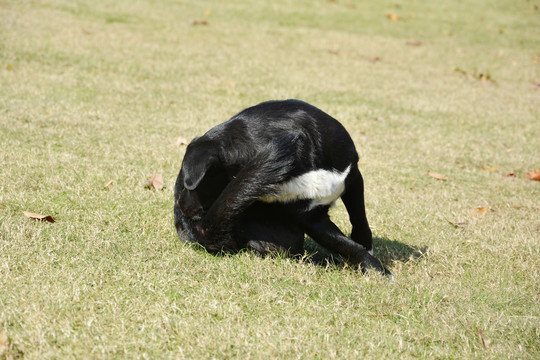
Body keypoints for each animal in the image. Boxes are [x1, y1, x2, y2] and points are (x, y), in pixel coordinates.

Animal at [175, 100, 390, 278]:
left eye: (191, 182)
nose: (180, 207)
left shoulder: (352, 176)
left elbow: (359, 220)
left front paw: (369, 254)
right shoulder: (309, 218)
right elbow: (344, 244)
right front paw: (377, 270)